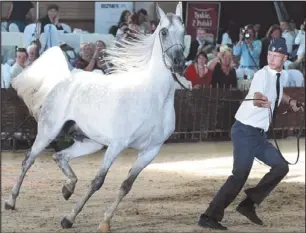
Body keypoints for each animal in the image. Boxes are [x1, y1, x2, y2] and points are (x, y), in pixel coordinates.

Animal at [5, 2, 186, 233]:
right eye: (163, 32)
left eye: (184, 31)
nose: (179, 63)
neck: (155, 98)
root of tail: (68, 77)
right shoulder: (117, 145)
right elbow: (97, 181)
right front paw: (69, 219)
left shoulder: (150, 151)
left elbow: (126, 185)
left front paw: (105, 221)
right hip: (48, 131)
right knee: (28, 160)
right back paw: (11, 201)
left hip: (90, 142)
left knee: (60, 156)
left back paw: (68, 188)